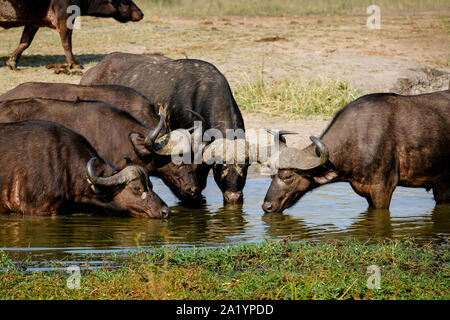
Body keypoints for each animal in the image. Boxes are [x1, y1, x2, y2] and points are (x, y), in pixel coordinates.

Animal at [0, 0, 142, 69]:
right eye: (126, 2)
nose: (141, 13)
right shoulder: (65, 17)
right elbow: (67, 42)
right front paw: (74, 63)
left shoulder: (34, 21)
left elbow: (25, 42)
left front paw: (12, 62)